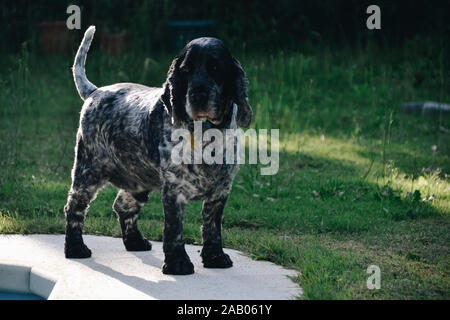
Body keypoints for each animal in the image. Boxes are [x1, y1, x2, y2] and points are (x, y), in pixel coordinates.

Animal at [64, 26, 251, 276]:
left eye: (216, 68)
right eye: (186, 71)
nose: (198, 96)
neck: (205, 133)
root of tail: (95, 92)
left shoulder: (220, 190)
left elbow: (212, 228)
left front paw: (215, 257)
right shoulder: (174, 189)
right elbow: (174, 229)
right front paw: (178, 264)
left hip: (137, 180)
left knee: (123, 206)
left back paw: (135, 242)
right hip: (88, 170)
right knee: (74, 208)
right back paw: (75, 248)